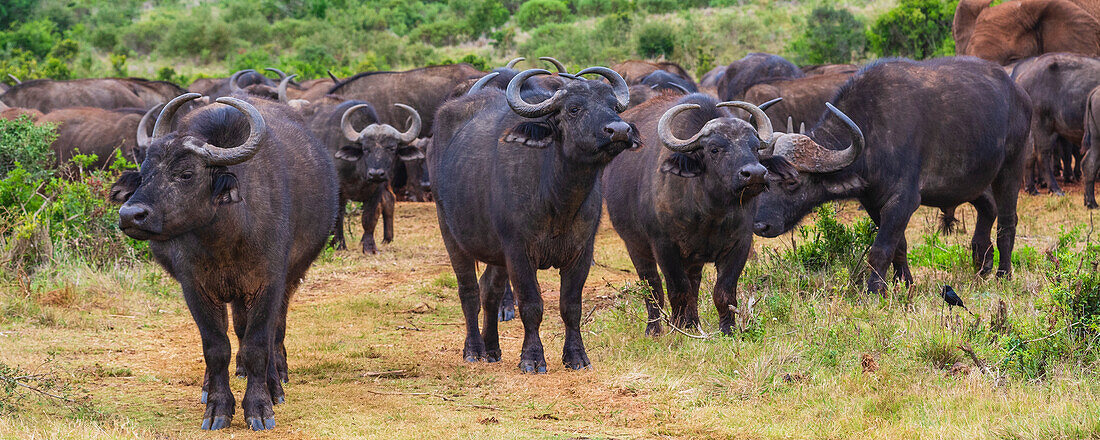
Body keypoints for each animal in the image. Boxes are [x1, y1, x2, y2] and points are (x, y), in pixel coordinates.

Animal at [429, 67, 638, 374]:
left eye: (613, 105)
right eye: (574, 108)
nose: (619, 130)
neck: (557, 199)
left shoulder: (581, 252)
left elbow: (571, 306)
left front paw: (576, 356)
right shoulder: (518, 251)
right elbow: (531, 305)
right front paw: (532, 358)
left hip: (496, 252)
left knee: (489, 291)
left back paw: (492, 349)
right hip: (450, 232)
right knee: (469, 292)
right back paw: (474, 350)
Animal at [752, 55, 1025, 294]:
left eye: (792, 182)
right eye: (765, 178)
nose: (760, 225)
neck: (873, 133)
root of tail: (1018, 93)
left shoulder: (904, 200)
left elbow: (881, 248)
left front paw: (875, 290)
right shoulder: (874, 202)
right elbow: (898, 246)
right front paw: (903, 283)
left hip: (1011, 168)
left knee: (1007, 221)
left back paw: (1003, 274)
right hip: (969, 182)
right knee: (988, 206)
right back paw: (982, 263)